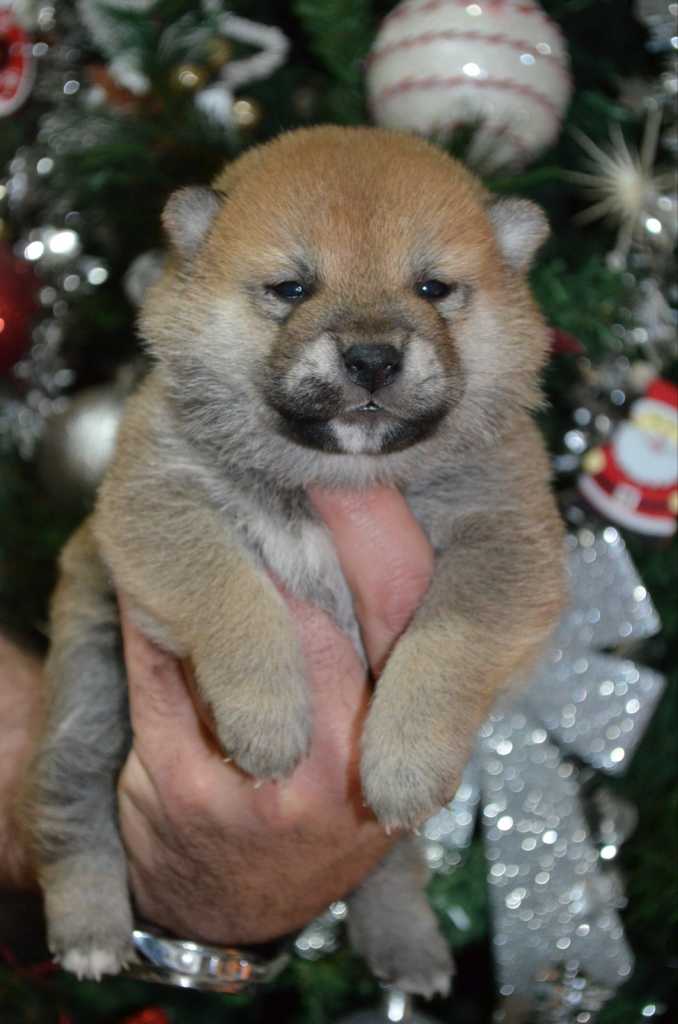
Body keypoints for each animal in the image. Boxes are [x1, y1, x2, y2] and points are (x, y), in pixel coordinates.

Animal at [26, 123, 565, 995]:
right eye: (290, 288)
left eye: (433, 288)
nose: (372, 359)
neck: (337, 474)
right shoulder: (154, 503)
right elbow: (235, 601)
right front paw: (268, 721)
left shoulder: (510, 543)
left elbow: (446, 644)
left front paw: (406, 758)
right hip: (86, 695)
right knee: (70, 813)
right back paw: (90, 935)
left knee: (389, 865)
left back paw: (408, 946)